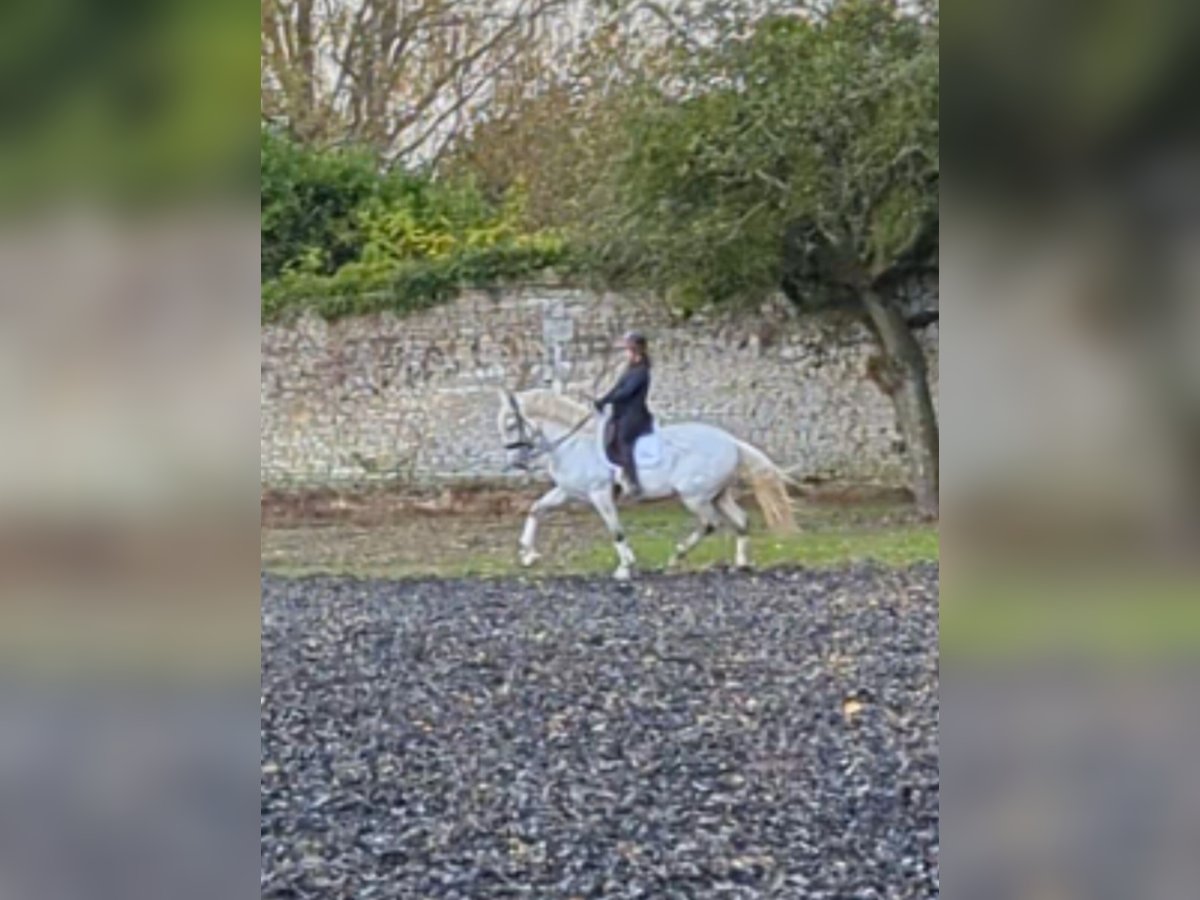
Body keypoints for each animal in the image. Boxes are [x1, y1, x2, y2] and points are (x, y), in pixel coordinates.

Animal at [497, 388, 795, 580]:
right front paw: (528, 555)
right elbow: (536, 509)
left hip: (695, 497)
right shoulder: (567, 492)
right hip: (717, 494)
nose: (515, 462)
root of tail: (731, 441)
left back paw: (676, 557)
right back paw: (741, 564)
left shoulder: (599, 493)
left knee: (710, 524)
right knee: (741, 520)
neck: (573, 442)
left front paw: (625, 568)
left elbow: (616, 530)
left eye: (511, 424)